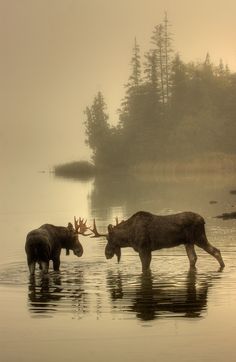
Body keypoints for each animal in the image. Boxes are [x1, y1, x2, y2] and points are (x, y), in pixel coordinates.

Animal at [90, 209, 225, 272]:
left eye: (108, 238)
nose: (106, 253)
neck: (128, 237)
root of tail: (203, 220)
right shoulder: (147, 250)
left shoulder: (143, 249)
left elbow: (145, 268)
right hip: (188, 242)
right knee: (193, 258)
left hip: (199, 237)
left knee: (216, 251)